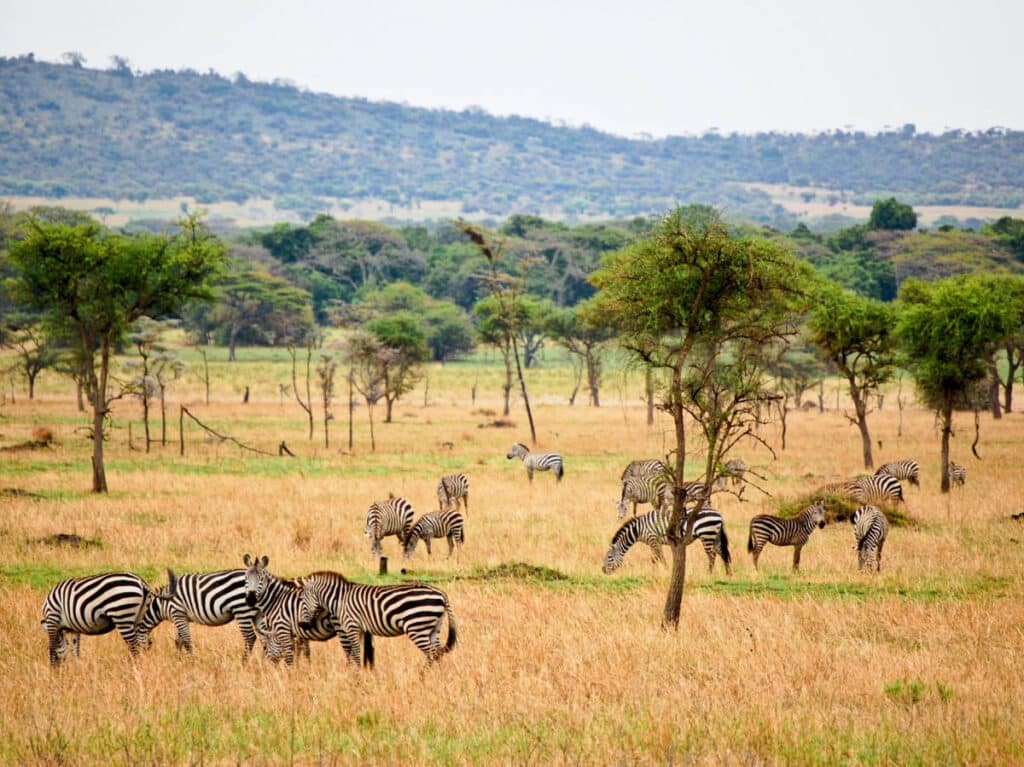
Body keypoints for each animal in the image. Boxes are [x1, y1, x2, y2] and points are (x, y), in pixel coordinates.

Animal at [40, 571, 175, 666]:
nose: (58, 669)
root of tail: (141, 582)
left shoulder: (52, 618)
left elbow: (53, 647)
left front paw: (53, 674)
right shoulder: (74, 629)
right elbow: (75, 650)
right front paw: (77, 669)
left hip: (122, 615)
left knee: (134, 646)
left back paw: (131, 669)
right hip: (138, 617)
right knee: (144, 643)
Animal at [295, 570, 457, 668]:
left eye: (302, 600)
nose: (302, 624)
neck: (340, 599)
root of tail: (441, 593)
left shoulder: (352, 626)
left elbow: (355, 653)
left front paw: (357, 677)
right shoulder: (359, 629)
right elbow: (357, 652)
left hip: (417, 627)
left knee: (432, 653)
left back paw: (423, 675)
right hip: (434, 628)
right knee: (438, 652)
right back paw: (436, 677)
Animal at [602, 506, 732, 576]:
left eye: (609, 557)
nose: (603, 571)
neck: (638, 529)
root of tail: (719, 514)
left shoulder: (654, 539)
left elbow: (660, 557)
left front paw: (666, 570)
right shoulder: (653, 542)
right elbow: (654, 558)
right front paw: (654, 572)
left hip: (706, 535)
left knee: (712, 555)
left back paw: (709, 573)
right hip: (714, 536)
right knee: (722, 553)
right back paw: (728, 574)